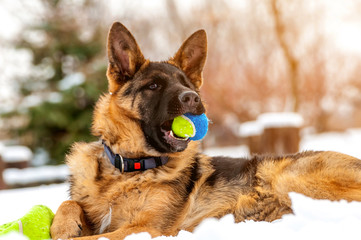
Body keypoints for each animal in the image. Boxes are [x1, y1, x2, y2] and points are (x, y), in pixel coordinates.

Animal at [49, 22, 360, 240]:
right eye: (154, 86)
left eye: (186, 84)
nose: (193, 98)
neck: (129, 168)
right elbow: (68, 203)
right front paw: (63, 226)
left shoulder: (146, 228)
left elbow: (92, 237)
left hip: (286, 176)